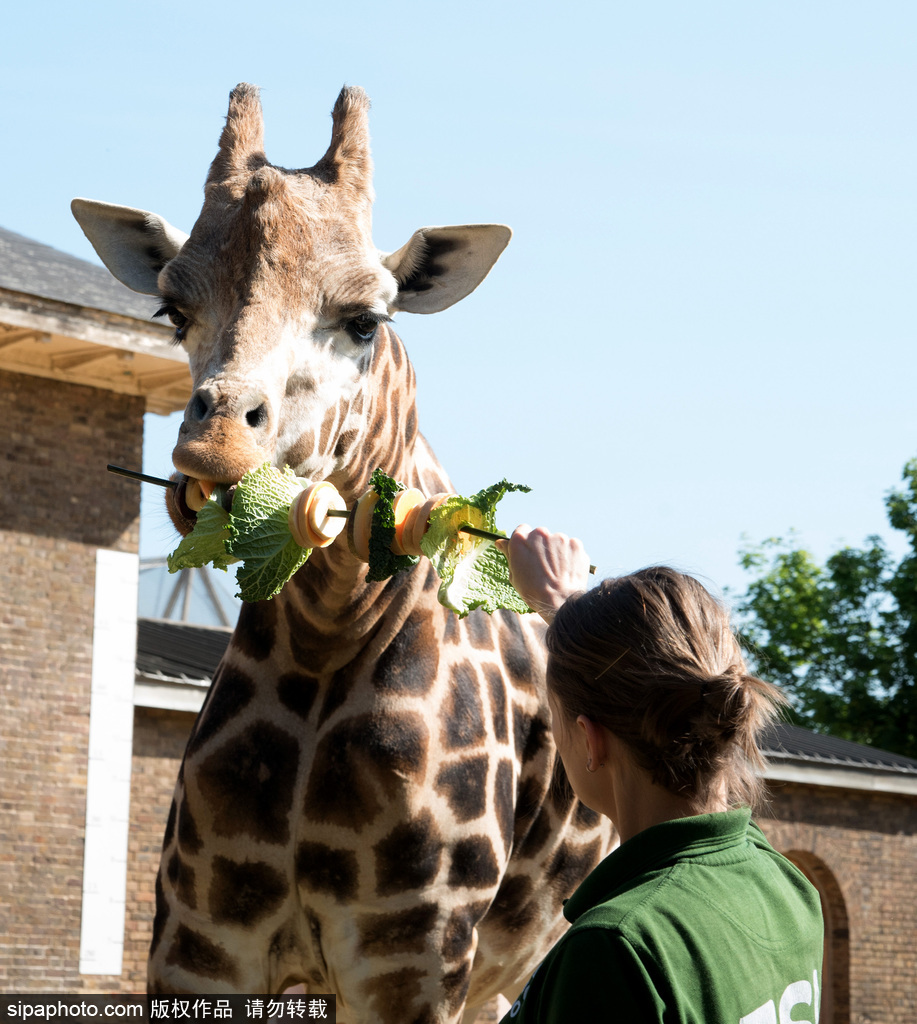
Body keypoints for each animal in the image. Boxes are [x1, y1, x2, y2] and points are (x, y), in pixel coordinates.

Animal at [73, 83, 614, 1019]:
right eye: (173, 312)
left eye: (364, 321)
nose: (214, 446)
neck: (327, 636)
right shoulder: (201, 941)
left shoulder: (412, 958)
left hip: (505, 964)